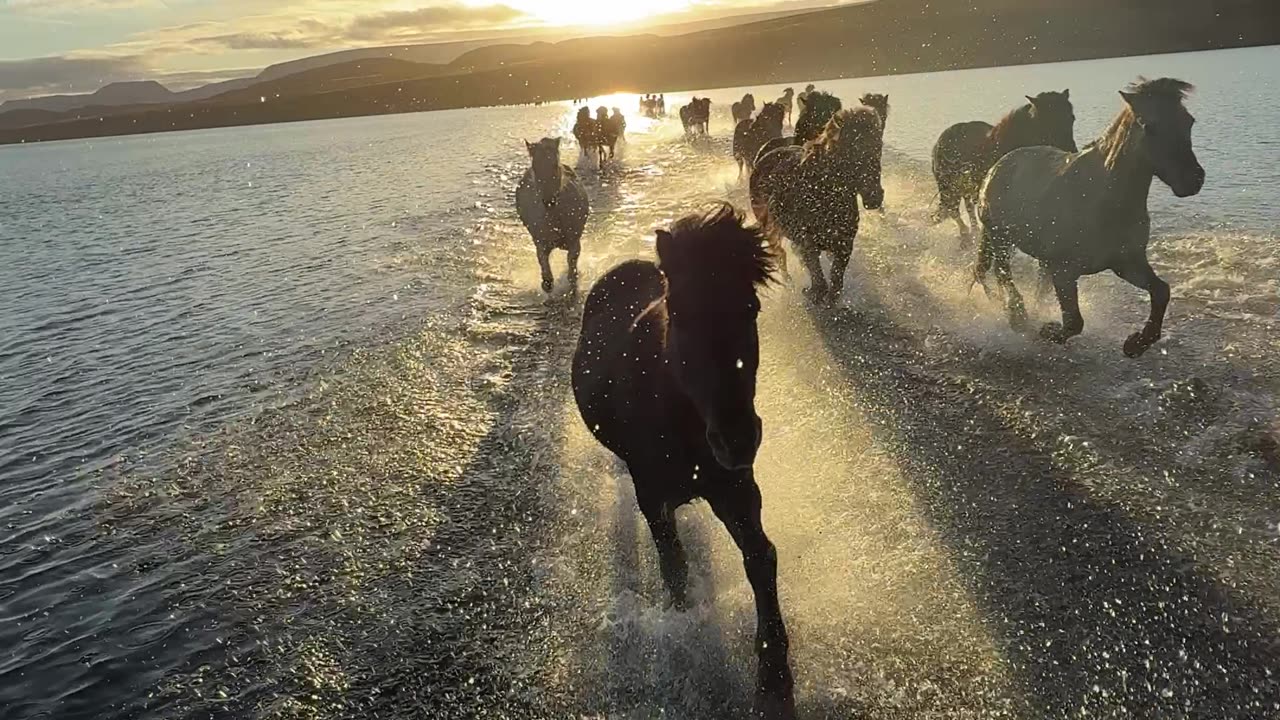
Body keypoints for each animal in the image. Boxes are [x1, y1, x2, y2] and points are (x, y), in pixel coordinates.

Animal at [514, 138, 590, 294]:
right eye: (535, 167)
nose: (549, 201)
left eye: (555, 165)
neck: (555, 221)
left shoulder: (574, 243)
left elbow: (572, 273)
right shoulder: (541, 244)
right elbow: (547, 280)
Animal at [571, 203, 794, 719]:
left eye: (751, 308)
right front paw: (684, 621)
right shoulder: (650, 495)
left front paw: (774, 672)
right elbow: (673, 563)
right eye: (679, 313)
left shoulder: (737, 488)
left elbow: (760, 557)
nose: (736, 439)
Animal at [750, 107, 885, 300]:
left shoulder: (844, 245)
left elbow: (835, 284)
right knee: (780, 255)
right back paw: (788, 282)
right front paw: (812, 293)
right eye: (854, 149)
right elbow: (819, 279)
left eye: (878, 147)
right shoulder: (808, 243)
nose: (875, 197)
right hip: (770, 229)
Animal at [933, 90, 1077, 246]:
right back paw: (966, 236)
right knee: (953, 209)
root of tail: (940, 140)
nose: (1073, 151)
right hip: (949, 186)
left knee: (967, 207)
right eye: (1049, 121)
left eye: (1071, 118)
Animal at [975, 77, 1204, 358]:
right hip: (1000, 238)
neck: (1103, 199)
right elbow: (1074, 322)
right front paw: (1046, 330)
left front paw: (1136, 343)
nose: (1193, 179)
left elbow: (1161, 291)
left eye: (1189, 121)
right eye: (1149, 126)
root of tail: (999, 166)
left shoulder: (1128, 263)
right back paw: (1018, 317)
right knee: (1001, 273)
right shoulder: (1063, 270)